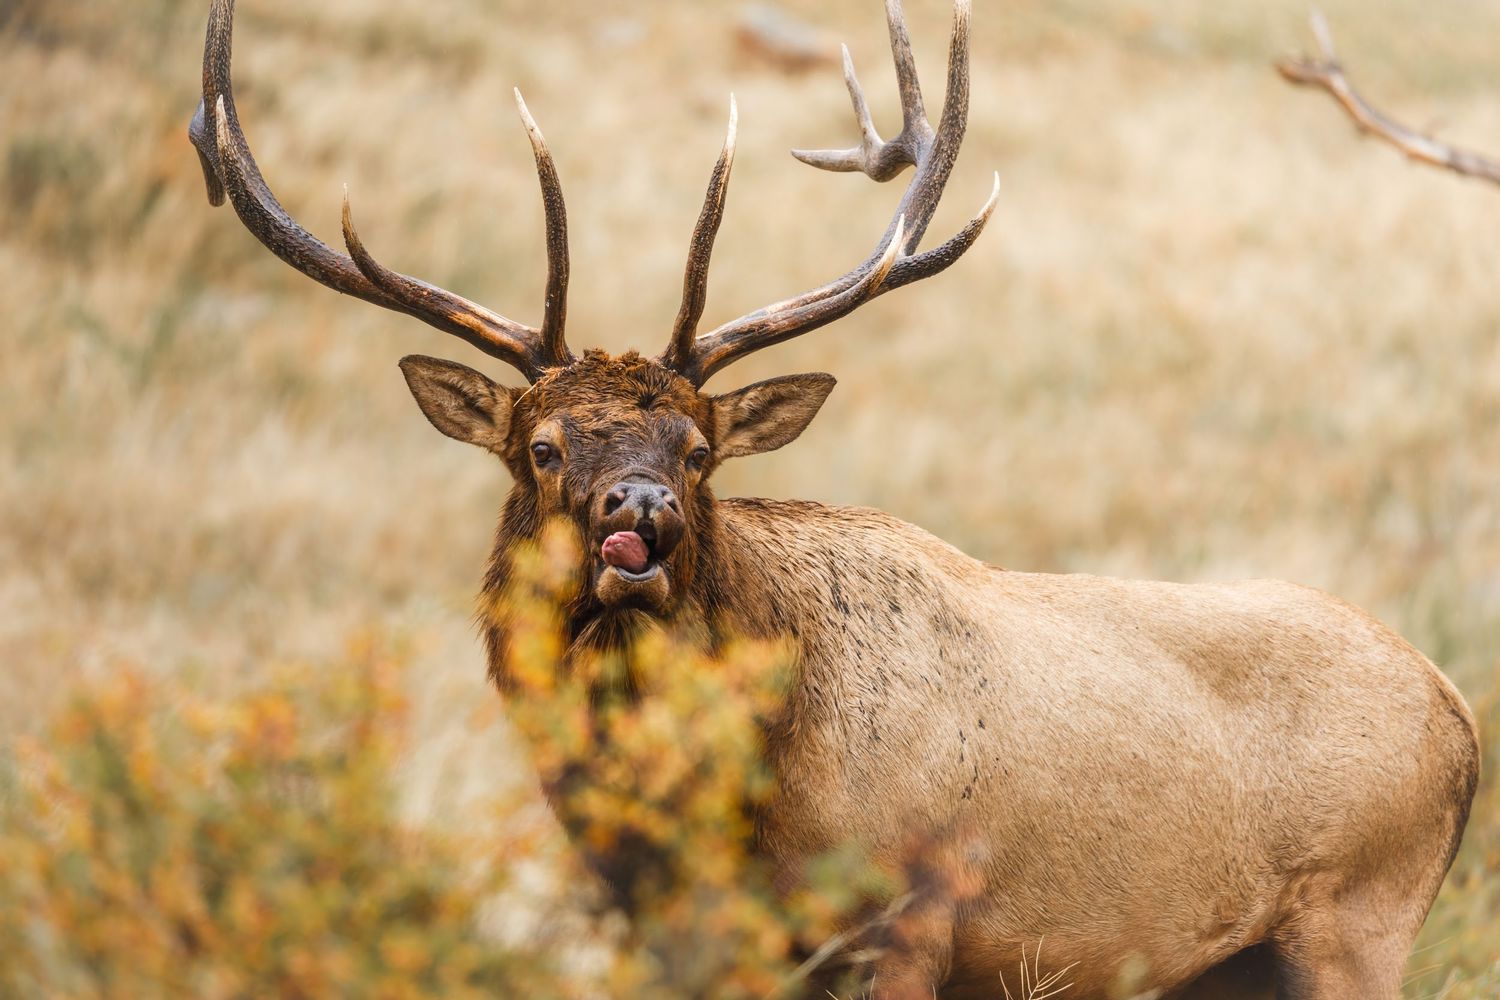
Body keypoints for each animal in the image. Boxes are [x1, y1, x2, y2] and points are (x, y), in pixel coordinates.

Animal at [190, 1, 1479, 997]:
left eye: (699, 448)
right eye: (542, 446)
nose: (639, 516)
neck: (722, 820)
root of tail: (1461, 712)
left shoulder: (907, 916)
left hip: (1359, 913)